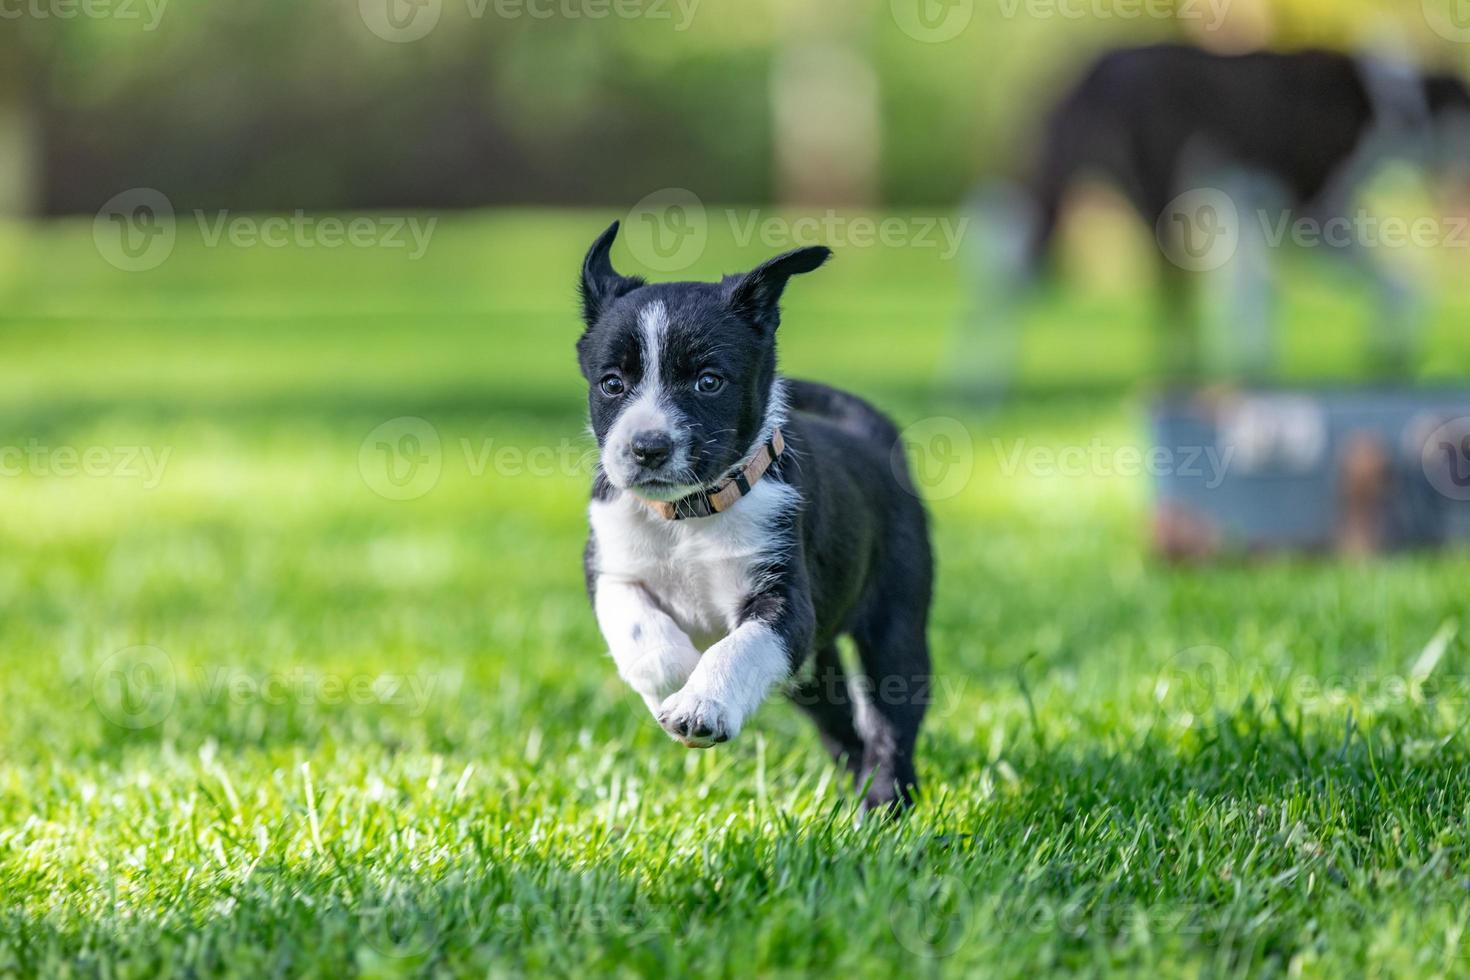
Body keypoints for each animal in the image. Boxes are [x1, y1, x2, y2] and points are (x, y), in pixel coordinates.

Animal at [573, 221, 929, 811]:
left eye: (709, 381)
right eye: (612, 384)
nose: (647, 447)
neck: (688, 515)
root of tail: (871, 437)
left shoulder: (783, 599)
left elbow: (737, 647)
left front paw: (700, 703)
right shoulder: (611, 567)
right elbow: (641, 632)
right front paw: (678, 679)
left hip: (895, 621)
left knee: (890, 720)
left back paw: (884, 803)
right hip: (810, 672)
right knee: (840, 722)